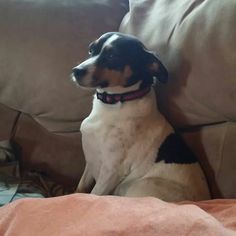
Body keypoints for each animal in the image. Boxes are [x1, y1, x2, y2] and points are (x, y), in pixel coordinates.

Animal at [72, 31, 210, 201]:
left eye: (112, 56)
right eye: (91, 50)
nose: (76, 71)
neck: (118, 102)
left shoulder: (111, 172)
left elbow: (93, 194)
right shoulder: (91, 162)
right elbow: (80, 189)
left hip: (137, 186)